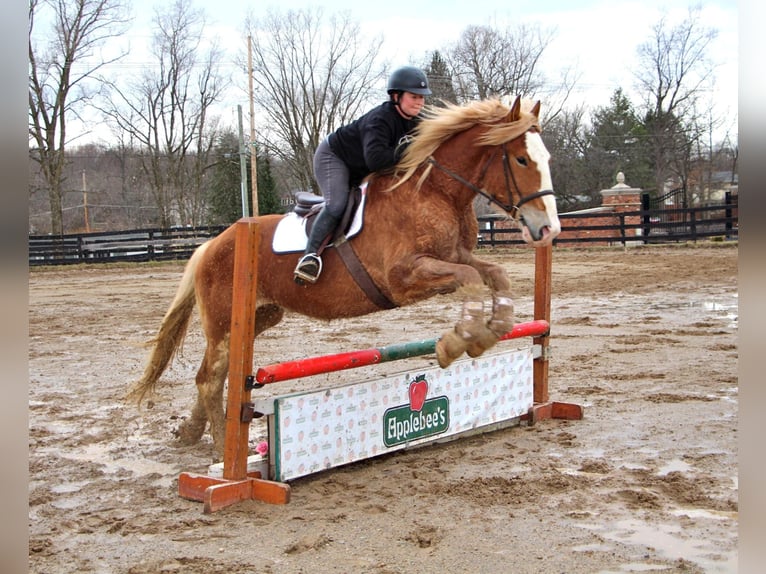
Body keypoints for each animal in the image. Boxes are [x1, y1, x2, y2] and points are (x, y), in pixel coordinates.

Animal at [130, 97, 564, 462]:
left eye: (546, 158)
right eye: (521, 159)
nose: (549, 230)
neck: (437, 192)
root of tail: (213, 244)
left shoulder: (453, 257)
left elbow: (495, 275)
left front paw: (490, 333)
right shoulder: (404, 277)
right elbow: (472, 279)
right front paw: (455, 345)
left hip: (258, 317)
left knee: (214, 375)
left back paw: (190, 432)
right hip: (224, 321)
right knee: (211, 378)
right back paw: (225, 452)